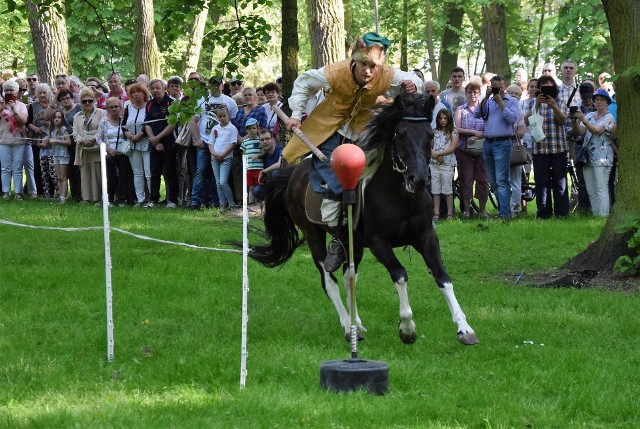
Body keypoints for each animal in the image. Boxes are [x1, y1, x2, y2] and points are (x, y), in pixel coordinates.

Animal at [252, 93, 478, 344]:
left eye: (430, 136)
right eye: (401, 134)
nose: (418, 180)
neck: (401, 197)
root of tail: (293, 173)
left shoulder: (426, 237)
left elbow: (442, 276)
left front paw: (464, 328)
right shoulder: (379, 242)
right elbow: (400, 275)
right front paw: (407, 328)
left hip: (354, 244)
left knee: (349, 276)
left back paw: (356, 324)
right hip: (313, 235)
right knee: (329, 281)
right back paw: (347, 326)